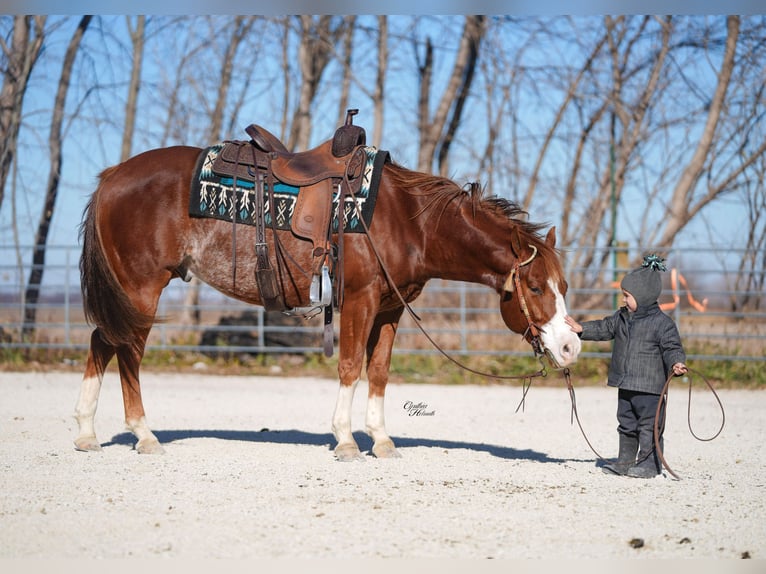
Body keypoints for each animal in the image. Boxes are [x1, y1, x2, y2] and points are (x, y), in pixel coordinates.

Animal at [74, 142, 582, 461]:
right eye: (535, 287)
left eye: (563, 285)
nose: (570, 346)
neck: (407, 221)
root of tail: (112, 176)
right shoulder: (359, 300)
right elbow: (351, 366)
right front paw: (346, 441)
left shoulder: (390, 309)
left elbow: (379, 371)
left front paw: (381, 441)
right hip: (141, 288)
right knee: (127, 352)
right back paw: (144, 435)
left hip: (126, 293)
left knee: (102, 341)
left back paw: (86, 434)